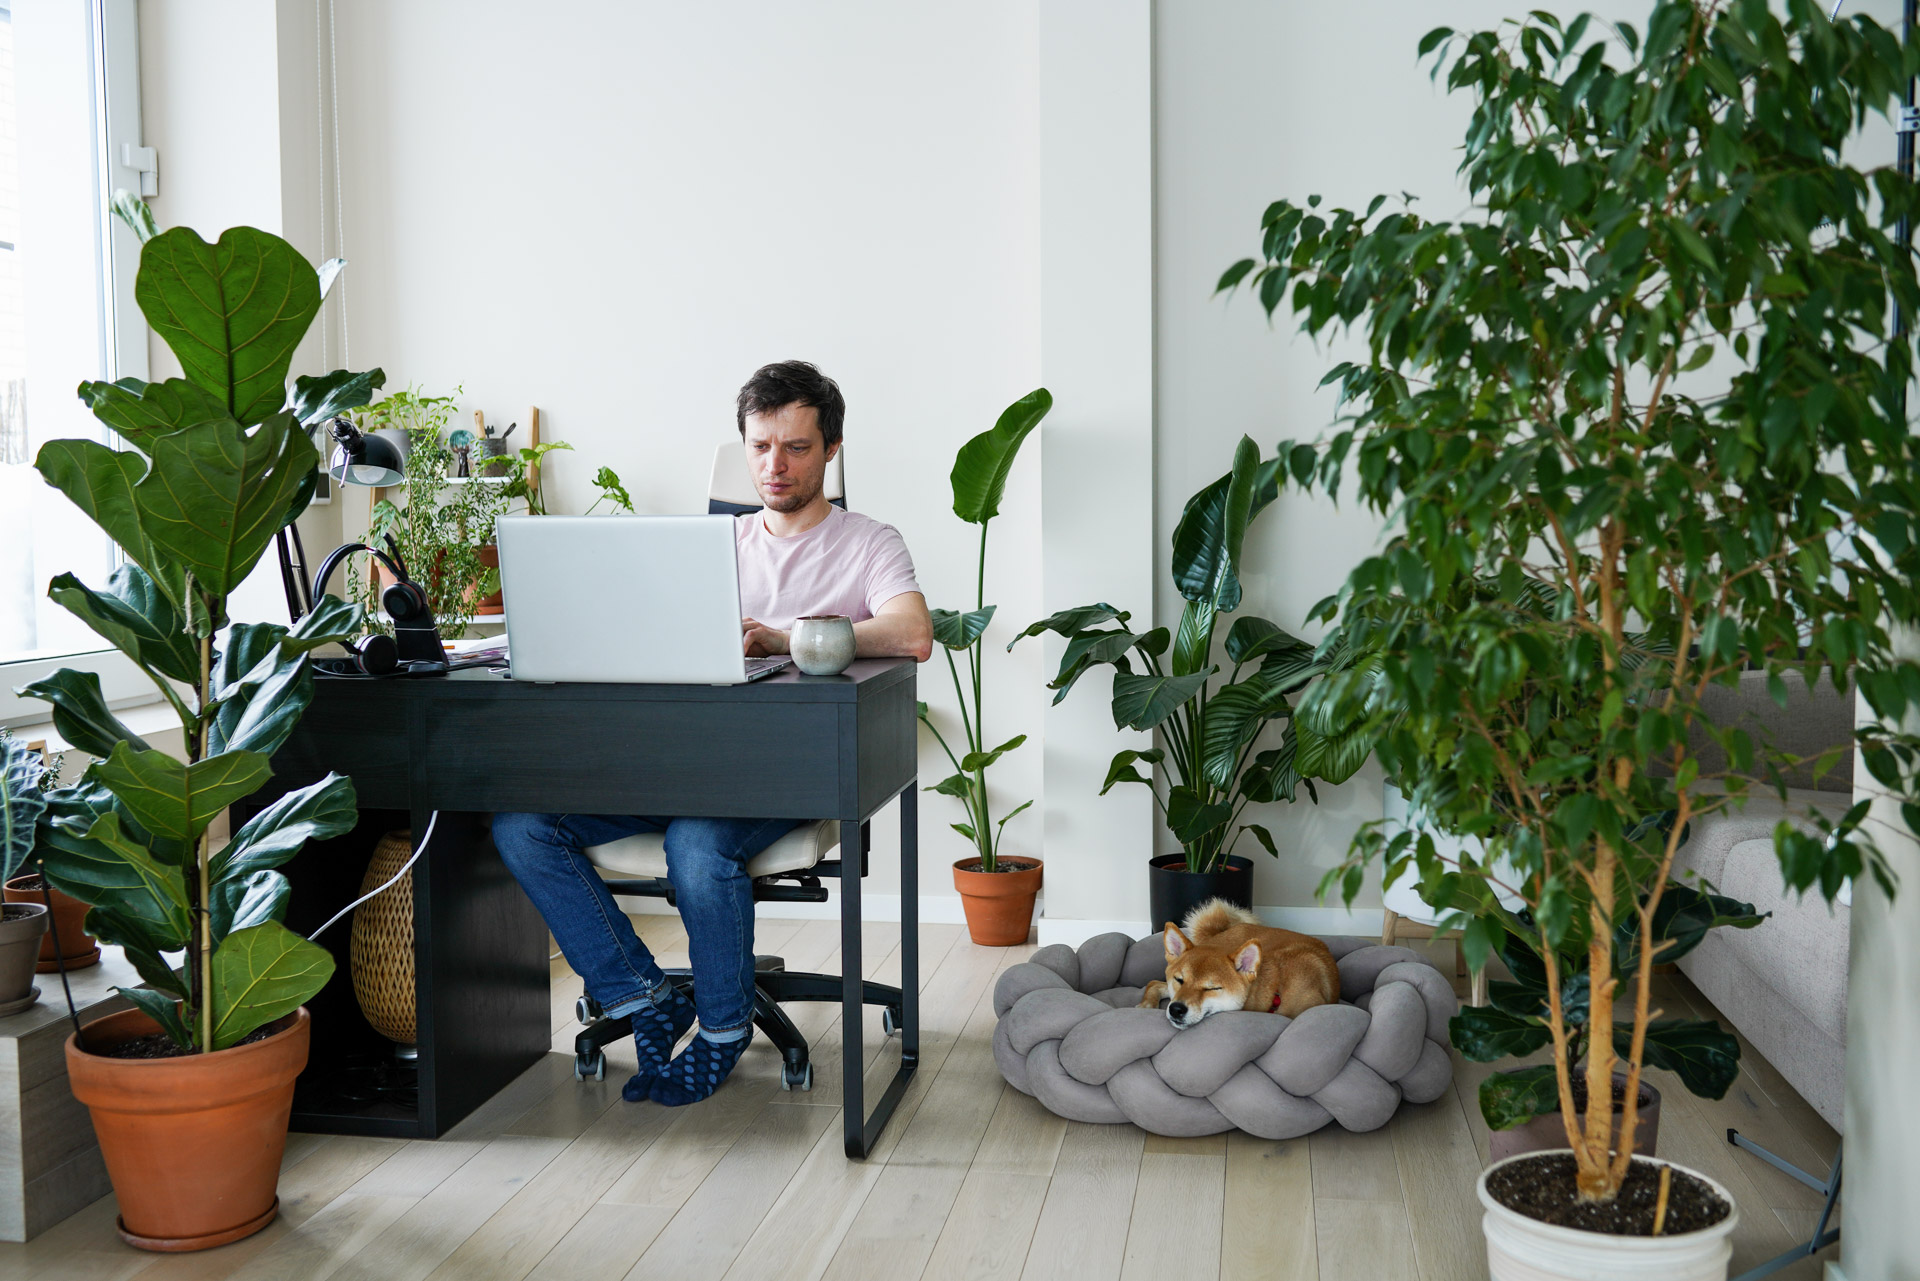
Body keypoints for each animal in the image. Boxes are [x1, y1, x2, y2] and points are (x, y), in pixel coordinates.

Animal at [1128, 902, 1344, 1029]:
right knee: (1154, 983)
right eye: (1180, 980)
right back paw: (1147, 1004)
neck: (1278, 986)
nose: (1176, 1009)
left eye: (1212, 988)